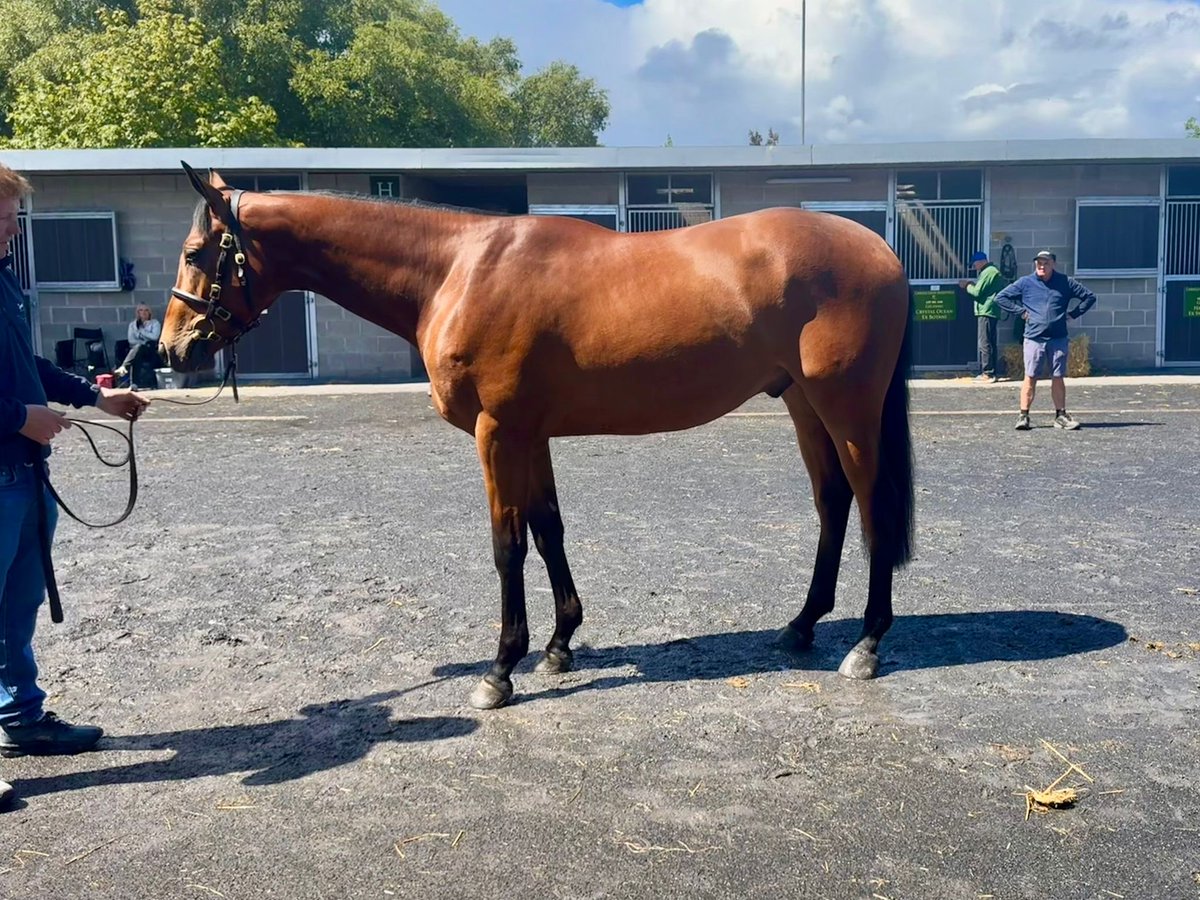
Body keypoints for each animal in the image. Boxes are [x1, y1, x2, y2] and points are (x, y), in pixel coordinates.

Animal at [161, 162, 915, 710]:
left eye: (197, 251)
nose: (173, 349)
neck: (456, 272)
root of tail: (879, 248)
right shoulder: (531, 435)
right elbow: (549, 528)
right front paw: (558, 645)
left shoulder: (497, 432)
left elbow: (508, 546)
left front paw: (500, 669)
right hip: (804, 404)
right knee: (833, 503)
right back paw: (802, 626)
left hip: (845, 406)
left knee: (872, 504)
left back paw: (867, 644)